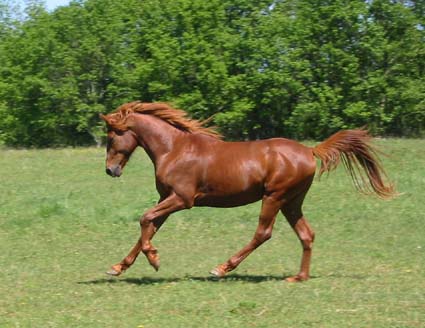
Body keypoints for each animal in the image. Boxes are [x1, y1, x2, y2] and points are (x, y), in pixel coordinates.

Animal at [100, 102, 394, 282]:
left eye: (112, 136)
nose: (110, 170)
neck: (174, 149)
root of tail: (310, 151)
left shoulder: (182, 199)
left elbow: (145, 219)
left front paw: (154, 259)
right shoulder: (167, 198)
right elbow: (149, 226)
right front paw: (118, 267)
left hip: (274, 197)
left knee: (263, 233)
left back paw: (221, 268)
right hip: (291, 202)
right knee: (306, 234)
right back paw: (299, 277)